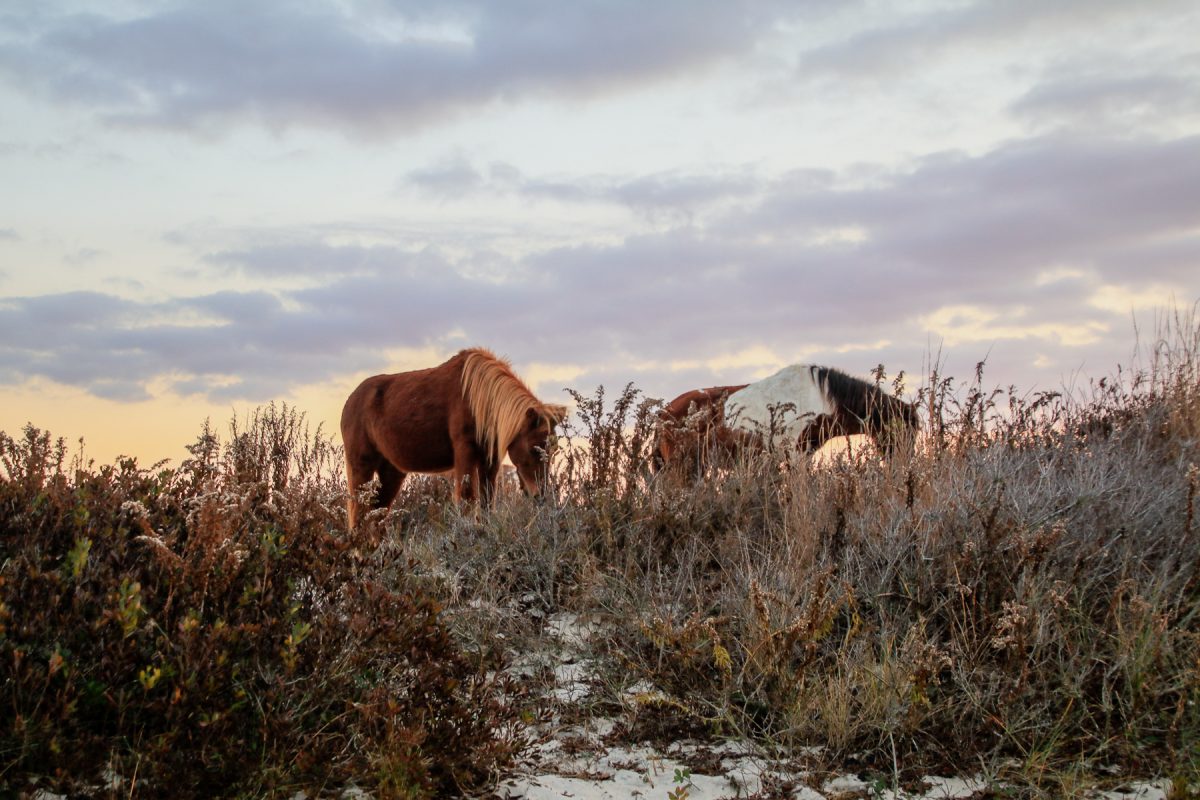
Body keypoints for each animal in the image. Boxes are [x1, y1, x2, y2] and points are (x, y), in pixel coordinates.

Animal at [340, 347, 568, 527]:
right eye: (533, 448)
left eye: (554, 449)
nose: (540, 495)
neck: (478, 398)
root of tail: (350, 401)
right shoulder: (465, 452)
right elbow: (466, 499)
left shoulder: (490, 460)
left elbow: (487, 501)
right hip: (362, 467)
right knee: (359, 514)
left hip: (391, 471)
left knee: (375, 515)